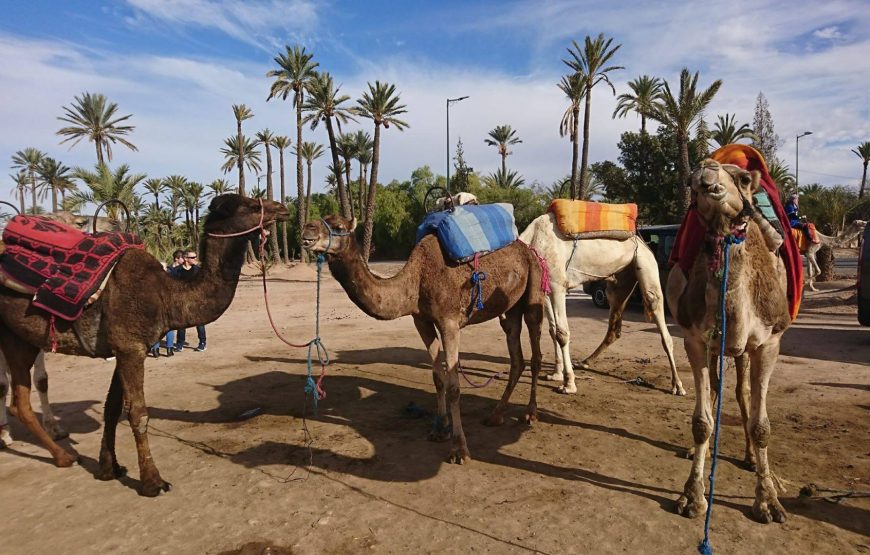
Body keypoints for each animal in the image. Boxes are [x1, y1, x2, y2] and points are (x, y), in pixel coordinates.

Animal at [0, 194, 288, 496]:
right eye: (253, 206)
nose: (282, 209)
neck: (166, 295)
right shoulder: (131, 348)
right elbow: (138, 413)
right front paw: (153, 481)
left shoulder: (123, 348)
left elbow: (111, 408)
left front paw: (109, 469)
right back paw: (60, 454)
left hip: (18, 337)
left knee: (20, 401)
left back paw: (61, 454)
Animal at [301, 215, 545, 464]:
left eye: (339, 227)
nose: (307, 230)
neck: (416, 281)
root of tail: (529, 250)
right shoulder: (422, 321)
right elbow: (438, 378)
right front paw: (440, 429)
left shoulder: (449, 322)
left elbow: (454, 386)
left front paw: (459, 449)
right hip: (510, 308)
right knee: (516, 355)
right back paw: (495, 415)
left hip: (534, 286)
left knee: (535, 351)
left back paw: (530, 413)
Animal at [520, 214, 685, 395]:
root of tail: (642, 241)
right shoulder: (546, 288)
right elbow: (552, 330)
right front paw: (556, 374)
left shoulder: (557, 285)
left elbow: (562, 333)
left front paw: (569, 384)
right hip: (619, 282)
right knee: (614, 328)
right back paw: (584, 362)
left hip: (645, 263)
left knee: (657, 312)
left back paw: (678, 385)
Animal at [666, 160, 791, 523]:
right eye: (691, 181)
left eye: (744, 178)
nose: (705, 176)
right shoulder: (695, 339)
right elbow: (701, 422)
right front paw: (692, 496)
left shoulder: (769, 343)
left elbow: (761, 425)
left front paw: (768, 501)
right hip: (719, 348)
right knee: (720, 389)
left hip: (744, 350)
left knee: (742, 392)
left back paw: (753, 460)